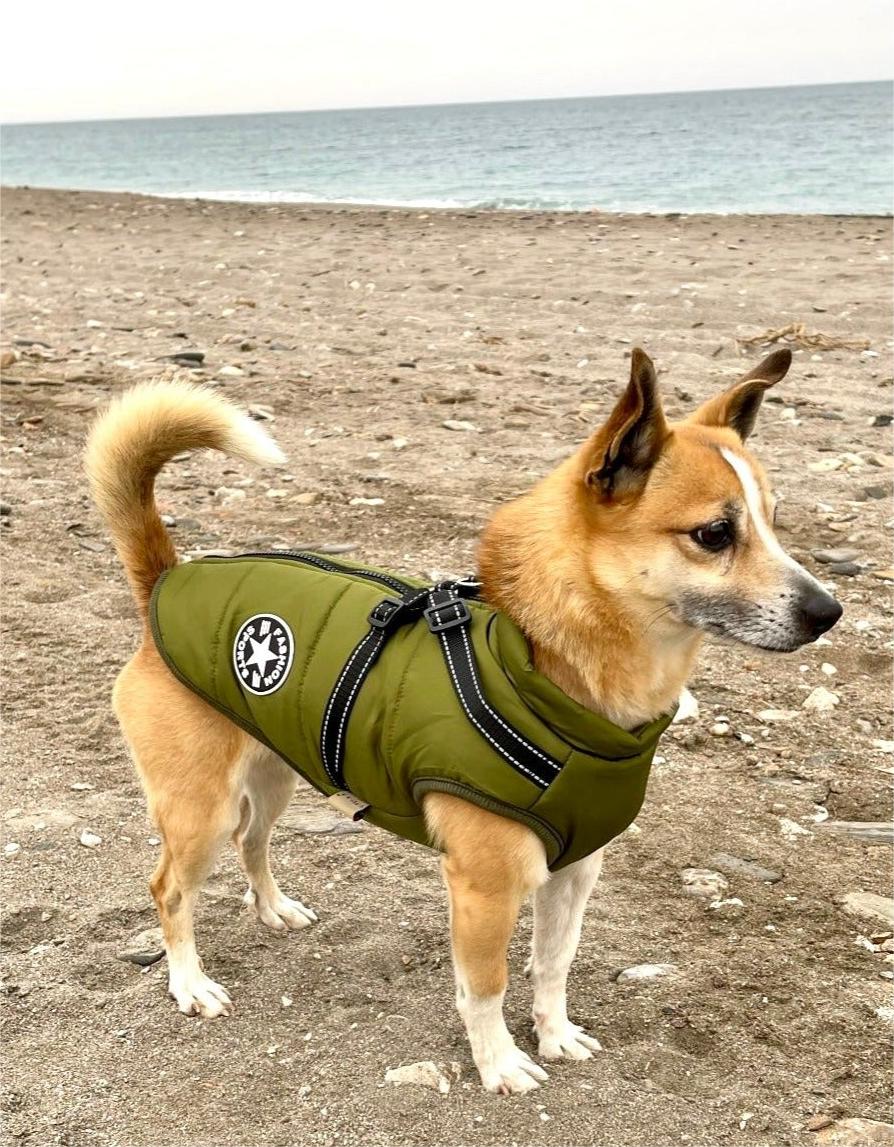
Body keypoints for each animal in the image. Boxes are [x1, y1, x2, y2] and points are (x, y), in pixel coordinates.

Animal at [85, 346, 841, 1094]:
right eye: (714, 534)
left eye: (774, 522)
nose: (829, 612)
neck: (545, 668)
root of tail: (165, 578)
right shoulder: (486, 887)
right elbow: (486, 984)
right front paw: (499, 1063)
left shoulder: (574, 873)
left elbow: (554, 963)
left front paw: (556, 1034)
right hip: (199, 810)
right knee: (170, 889)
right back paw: (190, 984)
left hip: (274, 776)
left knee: (253, 841)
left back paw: (273, 908)